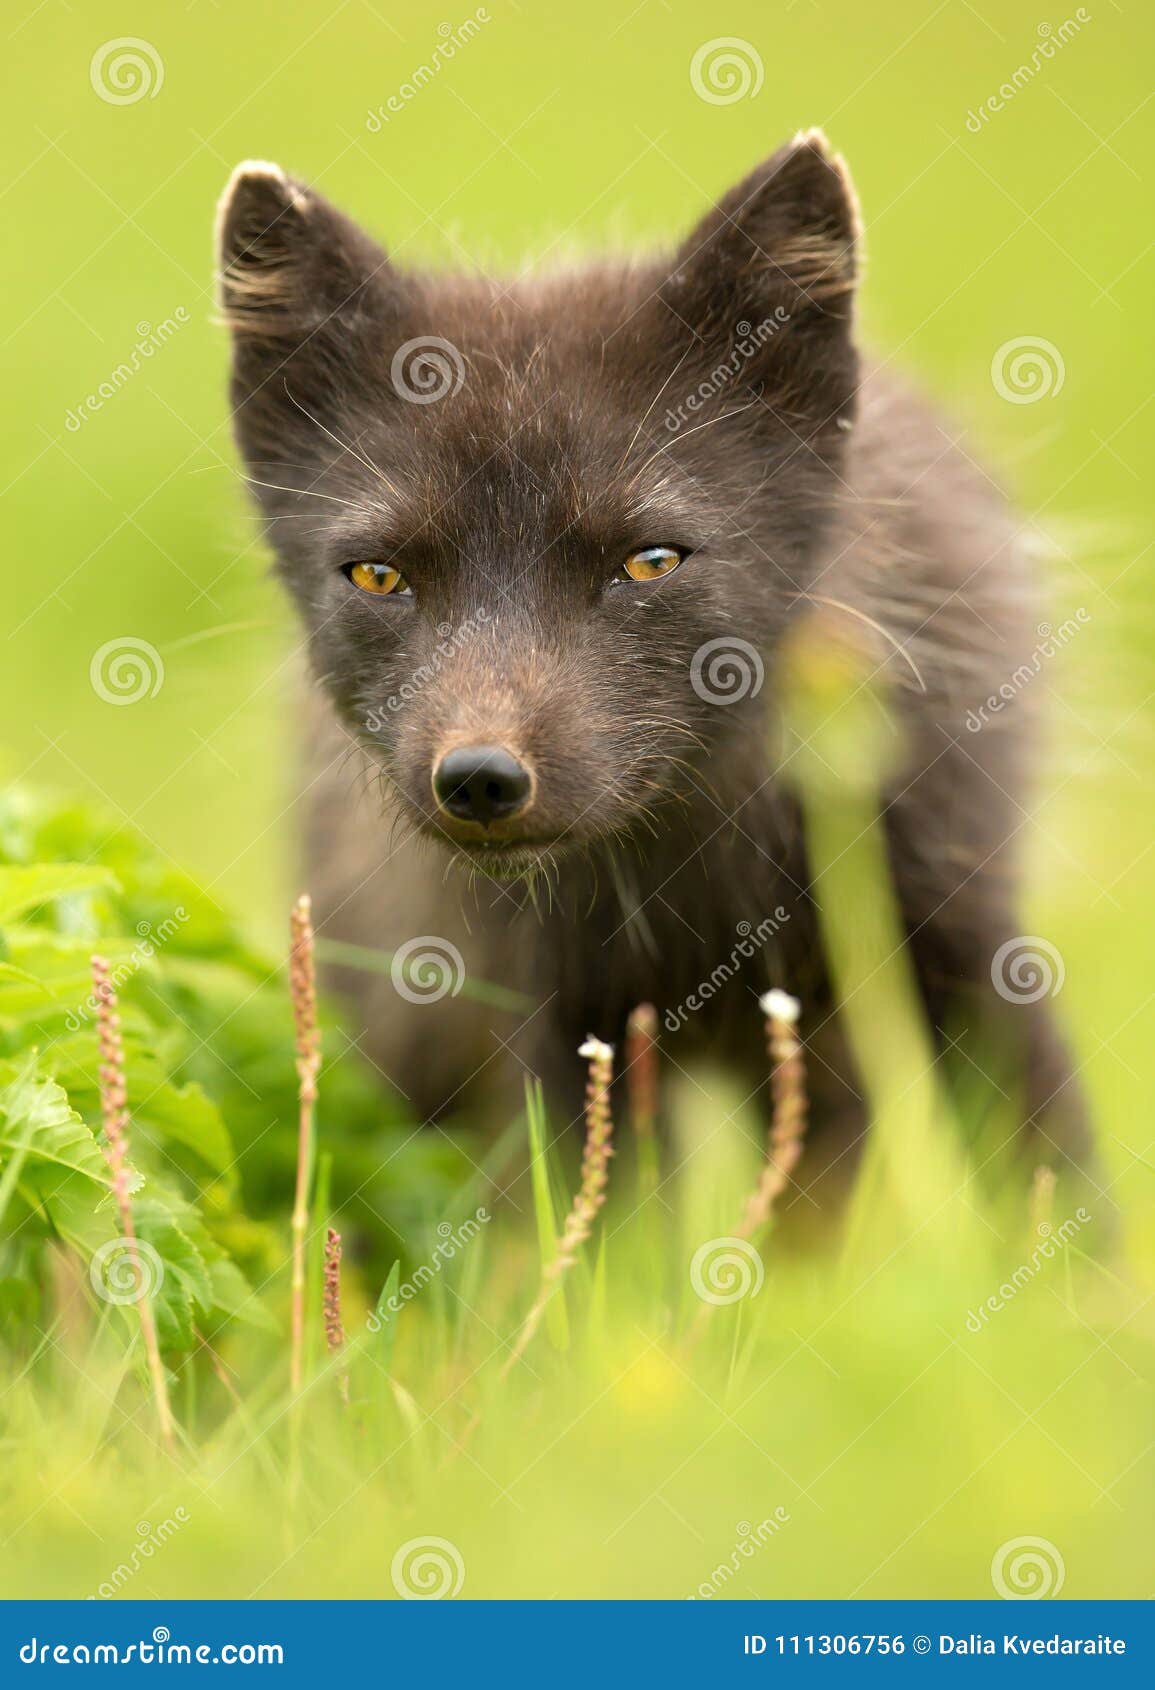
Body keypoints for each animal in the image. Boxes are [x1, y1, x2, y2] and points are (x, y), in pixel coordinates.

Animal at [216, 131, 1095, 1203]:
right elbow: (599, 1228)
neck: (693, 876)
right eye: (380, 574)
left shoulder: (969, 940)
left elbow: (1056, 1180)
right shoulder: (556, 1026)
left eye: (649, 562)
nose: (480, 779)